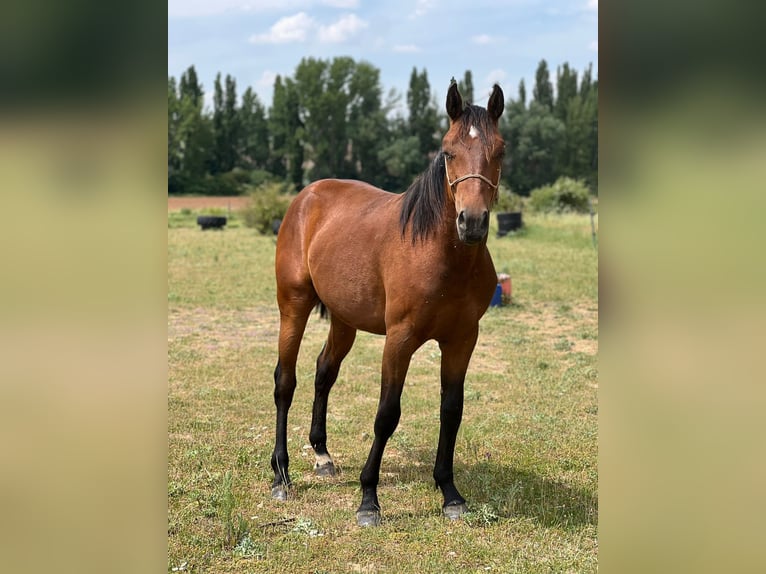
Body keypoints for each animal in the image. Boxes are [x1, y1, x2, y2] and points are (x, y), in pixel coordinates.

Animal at [270, 80, 505, 526]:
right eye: (448, 152)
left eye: (500, 151)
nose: (472, 222)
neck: (439, 253)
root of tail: (307, 196)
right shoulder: (399, 340)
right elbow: (386, 415)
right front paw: (368, 500)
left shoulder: (462, 340)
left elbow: (451, 410)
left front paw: (450, 493)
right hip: (293, 307)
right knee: (284, 383)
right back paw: (280, 475)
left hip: (344, 320)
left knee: (324, 373)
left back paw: (322, 455)